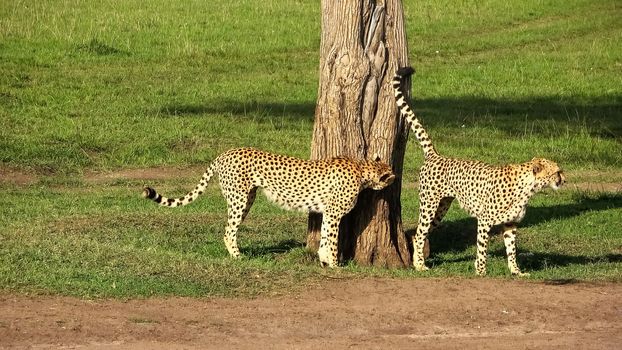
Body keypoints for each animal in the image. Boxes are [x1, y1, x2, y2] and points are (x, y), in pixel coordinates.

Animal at [143, 148, 394, 268]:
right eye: (390, 173)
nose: (395, 177)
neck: (362, 169)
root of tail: (226, 152)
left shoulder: (327, 213)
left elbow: (324, 237)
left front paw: (324, 261)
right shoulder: (333, 213)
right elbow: (331, 239)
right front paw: (333, 263)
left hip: (247, 198)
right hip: (239, 199)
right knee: (228, 230)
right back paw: (237, 256)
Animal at [394, 67, 564, 276]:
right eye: (556, 172)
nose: (563, 179)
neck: (527, 187)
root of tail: (436, 155)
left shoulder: (510, 225)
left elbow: (512, 250)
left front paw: (516, 271)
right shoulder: (484, 220)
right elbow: (482, 248)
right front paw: (481, 270)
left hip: (441, 208)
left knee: (418, 233)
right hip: (429, 205)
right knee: (419, 234)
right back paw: (419, 265)